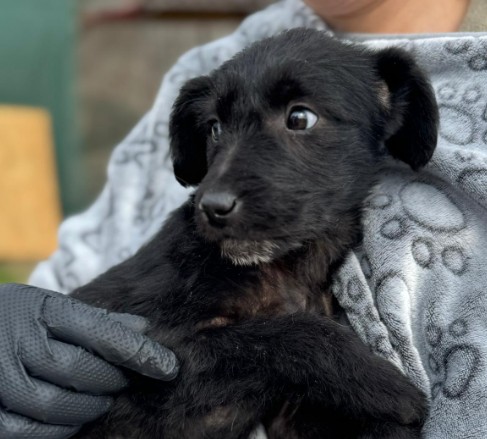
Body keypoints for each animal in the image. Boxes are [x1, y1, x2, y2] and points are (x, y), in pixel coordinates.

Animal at [71, 28, 438, 438]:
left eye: (300, 118)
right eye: (214, 127)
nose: (212, 207)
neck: (282, 270)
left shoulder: (290, 414)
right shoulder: (148, 349)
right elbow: (287, 333)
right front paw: (387, 387)